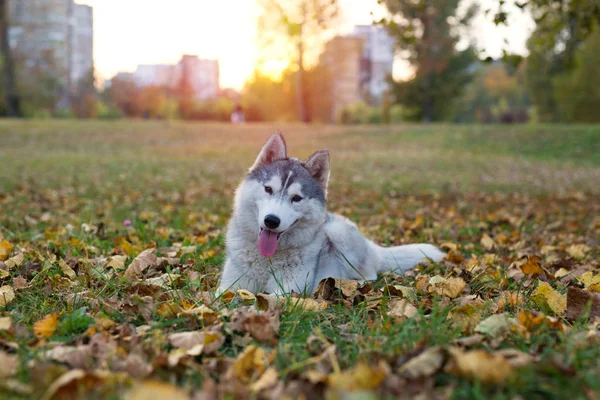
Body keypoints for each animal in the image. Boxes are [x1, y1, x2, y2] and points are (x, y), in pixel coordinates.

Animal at [218, 133, 442, 296]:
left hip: (337, 232)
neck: (267, 259)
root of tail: (371, 246)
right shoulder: (231, 285)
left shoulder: (289, 291)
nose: (271, 221)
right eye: (268, 189)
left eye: (296, 198)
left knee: (369, 274)